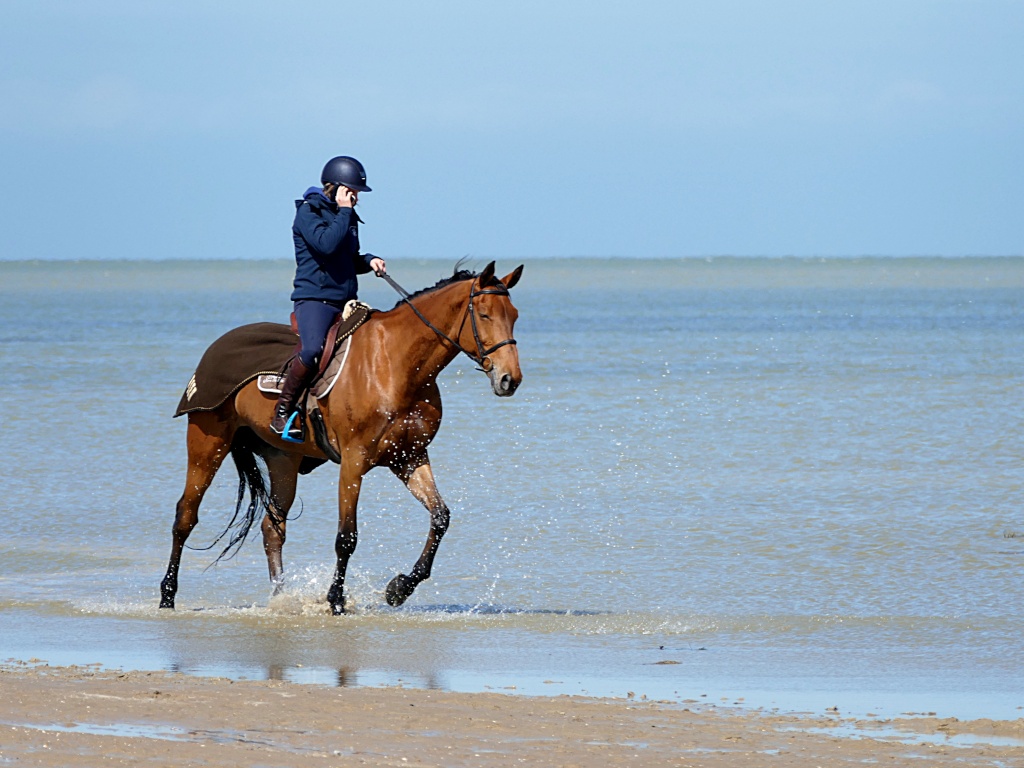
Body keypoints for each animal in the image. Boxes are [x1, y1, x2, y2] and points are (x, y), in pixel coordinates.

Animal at [161, 262, 528, 618]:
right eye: (485, 315)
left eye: (514, 315)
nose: (510, 379)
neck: (395, 364)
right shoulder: (354, 461)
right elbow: (346, 537)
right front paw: (336, 600)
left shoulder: (409, 457)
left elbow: (440, 517)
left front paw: (399, 589)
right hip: (207, 444)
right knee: (185, 517)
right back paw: (167, 596)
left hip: (283, 461)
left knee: (272, 528)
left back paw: (282, 599)